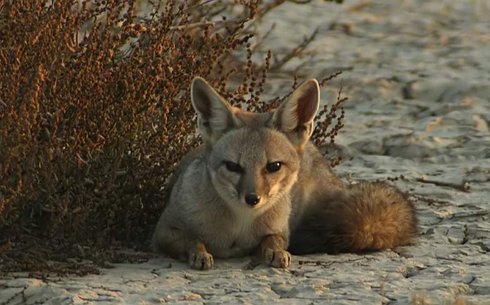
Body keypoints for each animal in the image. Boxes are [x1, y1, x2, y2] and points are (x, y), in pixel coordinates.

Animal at [153, 76, 418, 268]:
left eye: (273, 166)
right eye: (233, 166)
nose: (252, 198)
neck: (240, 223)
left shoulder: (281, 230)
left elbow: (274, 240)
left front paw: (275, 251)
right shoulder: (163, 230)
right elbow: (191, 239)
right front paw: (199, 253)